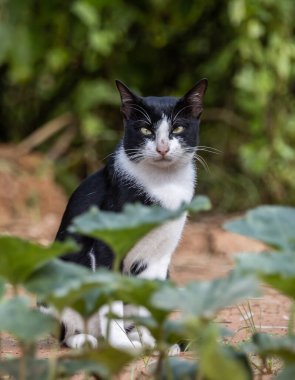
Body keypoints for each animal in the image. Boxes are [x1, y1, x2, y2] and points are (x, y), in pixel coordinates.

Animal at [42, 78, 208, 352]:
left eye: (178, 128)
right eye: (146, 131)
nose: (162, 148)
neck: (163, 184)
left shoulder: (161, 255)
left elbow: (148, 299)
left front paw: (152, 342)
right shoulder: (107, 246)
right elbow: (111, 297)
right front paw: (120, 344)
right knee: (64, 331)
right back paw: (85, 340)